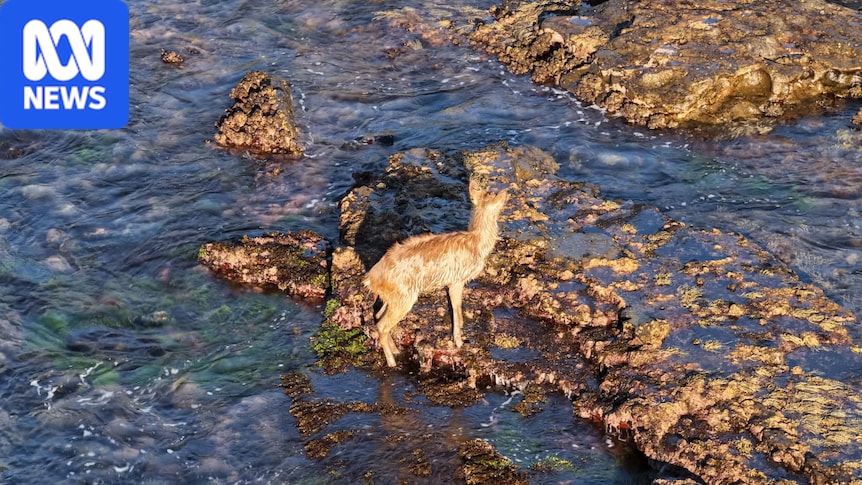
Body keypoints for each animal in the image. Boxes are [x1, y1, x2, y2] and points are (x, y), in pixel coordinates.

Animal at [364, 179, 508, 367]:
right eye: (491, 195)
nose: (503, 193)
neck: (477, 242)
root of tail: (370, 279)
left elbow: (458, 307)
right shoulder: (456, 280)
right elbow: (455, 307)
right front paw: (459, 341)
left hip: (392, 298)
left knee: (378, 317)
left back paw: (395, 350)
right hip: (404, 298)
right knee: (382, 325)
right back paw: (392, 362)